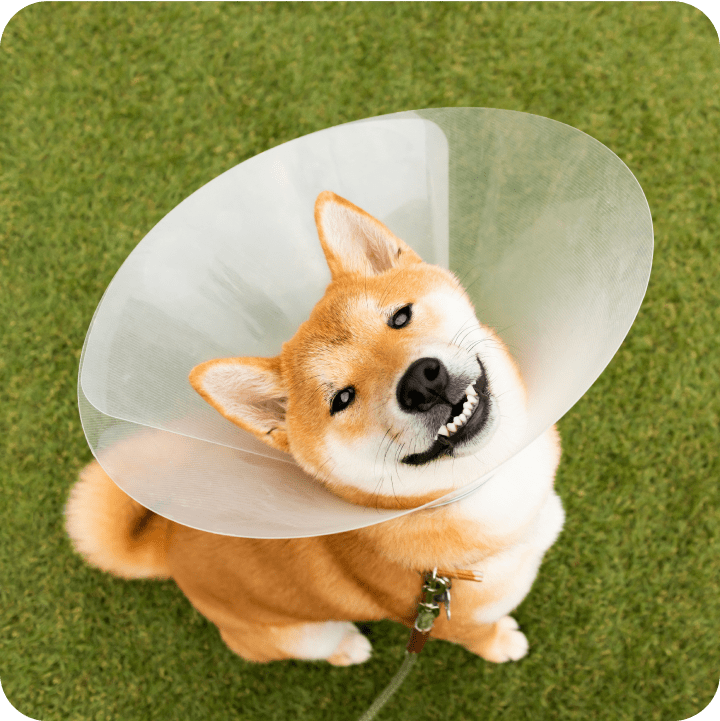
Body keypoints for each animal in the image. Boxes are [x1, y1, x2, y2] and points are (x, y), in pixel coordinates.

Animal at [66, 190, 564, 664]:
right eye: (342, 399)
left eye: (400, 317)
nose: (422, 383)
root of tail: (169, 546)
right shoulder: (441, 620)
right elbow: (480, 635)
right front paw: (501, 644)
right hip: (304, 635)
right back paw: (349, 648)